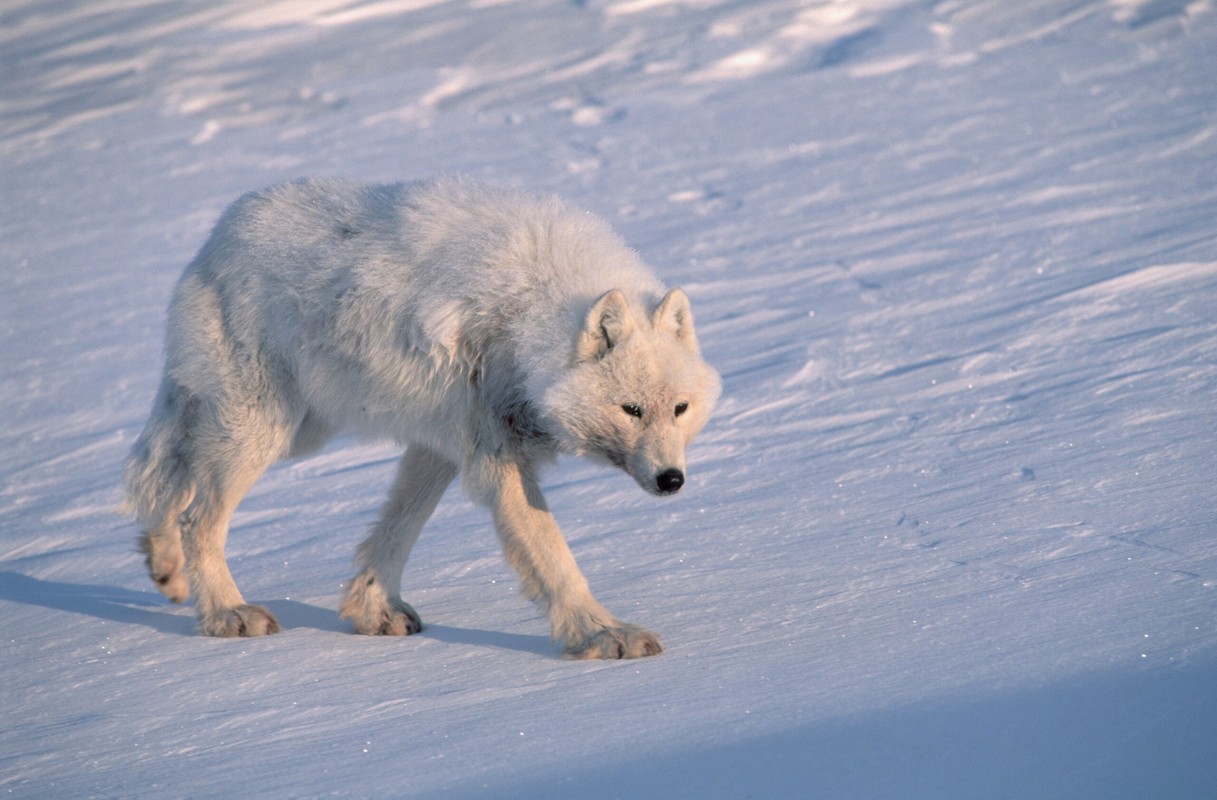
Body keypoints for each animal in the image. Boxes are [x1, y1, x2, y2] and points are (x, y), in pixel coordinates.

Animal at [121, 177, 720, 657]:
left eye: (680, 409)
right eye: (631, 410)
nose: (671, 480)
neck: (530, 314)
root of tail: (217, 239)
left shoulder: (443, 444)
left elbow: (398, 527)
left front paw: (373, 610)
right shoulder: (494, 455)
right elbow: (553, 556)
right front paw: (602, 634)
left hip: (294, 431)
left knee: (169, 479)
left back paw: (166, 568)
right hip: (265, 432)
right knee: (197, 515)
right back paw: (226, 613)